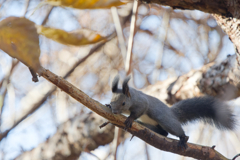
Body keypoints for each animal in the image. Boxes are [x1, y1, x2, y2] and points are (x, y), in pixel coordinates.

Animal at [107, 75, 236, 149]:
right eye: (111, 100)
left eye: (123, 103)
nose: (115, 111)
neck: (132, 96)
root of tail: (172, 112)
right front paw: (107, 106)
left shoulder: (142, 103)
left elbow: (138, 111)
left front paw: (130, 119)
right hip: (155, 125)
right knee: (163, 133)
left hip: (164, 119)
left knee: (173, 129)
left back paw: (183, 138)